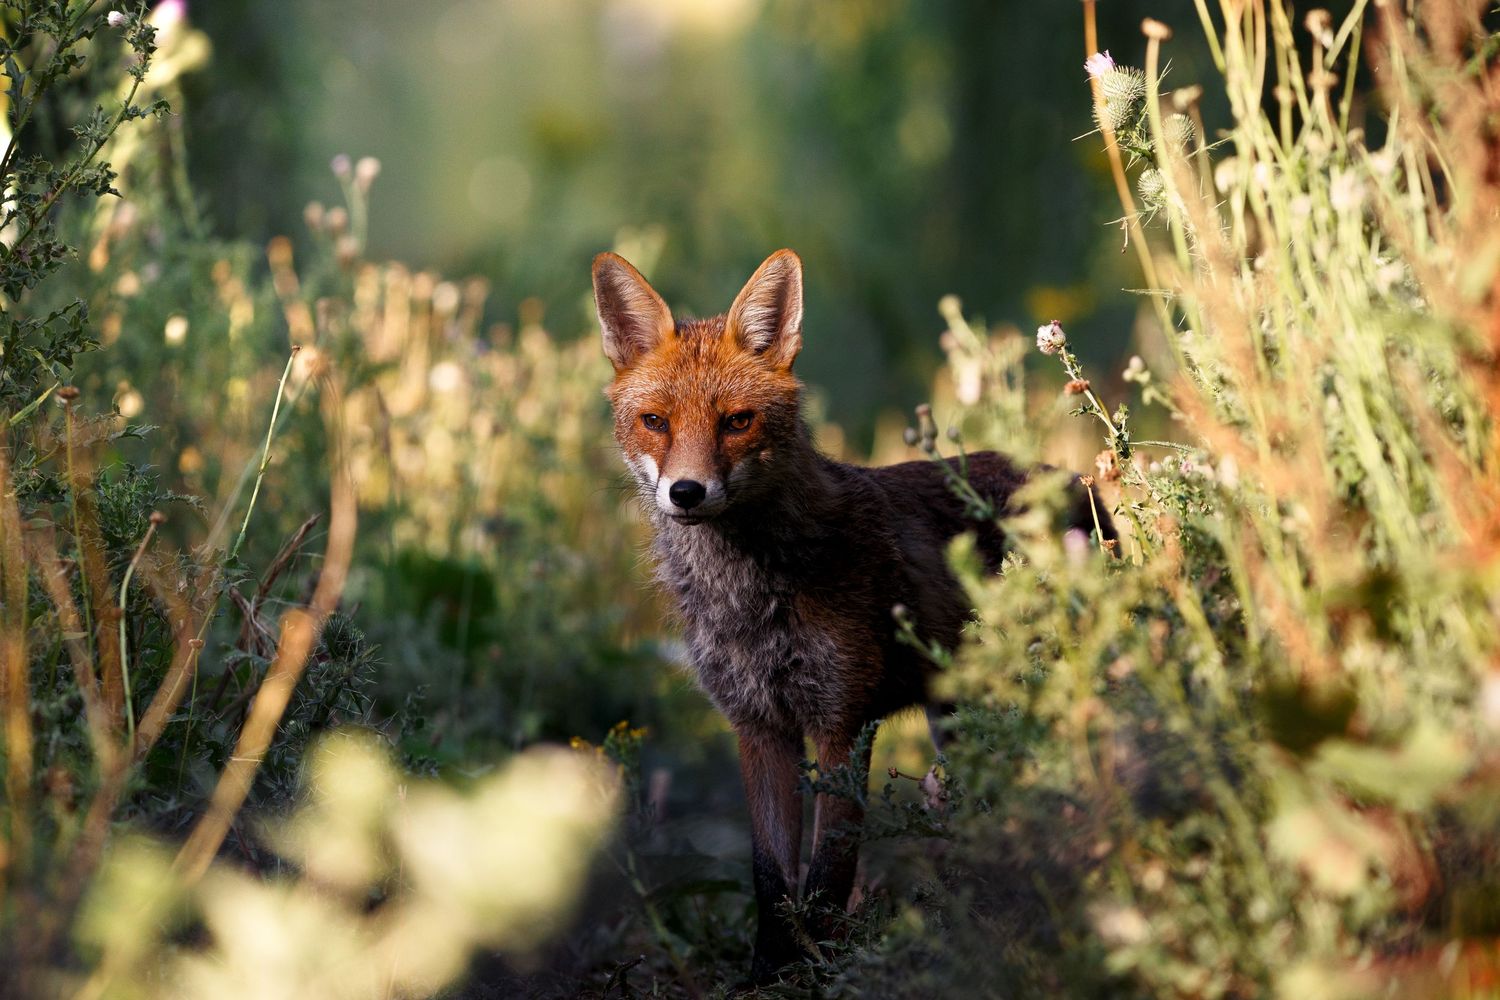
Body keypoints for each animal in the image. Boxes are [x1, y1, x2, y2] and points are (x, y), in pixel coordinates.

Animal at [593, 248, 1113, 980]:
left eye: (736, 421)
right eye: (656, 422)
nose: (687, 493)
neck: (750, 595)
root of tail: (1071, 479)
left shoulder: (843, 721)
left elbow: (828, 871)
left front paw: (821, 967)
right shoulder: (759, 728)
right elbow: (771, 876)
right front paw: (768, 971)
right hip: (957, 716)